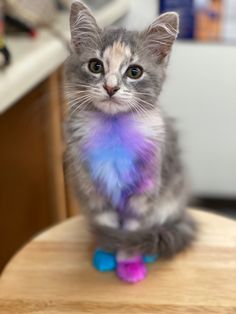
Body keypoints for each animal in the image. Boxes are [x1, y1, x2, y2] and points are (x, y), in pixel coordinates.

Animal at [63, 0, 196, 284]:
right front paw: (106, 252)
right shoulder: (92, 188)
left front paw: (128, 262)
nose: (111, 87)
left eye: (134, 72)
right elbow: (107, 224)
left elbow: (130, 232)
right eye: (96, 66)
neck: (114, 127)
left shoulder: (143, 191)